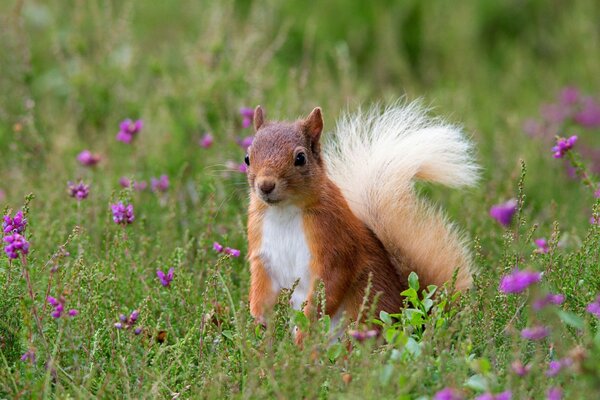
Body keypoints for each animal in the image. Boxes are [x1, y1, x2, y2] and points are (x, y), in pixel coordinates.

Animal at [244, 101, 478, 340]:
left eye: (300, 158)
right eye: (247, 158)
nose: (265, 185)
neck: (284, 212)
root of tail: (416, 318)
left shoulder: (334, 243)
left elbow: (330, 283)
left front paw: (308, 323)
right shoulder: (262, 251)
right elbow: (261, 286)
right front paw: (258, 321)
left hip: (362, 317)